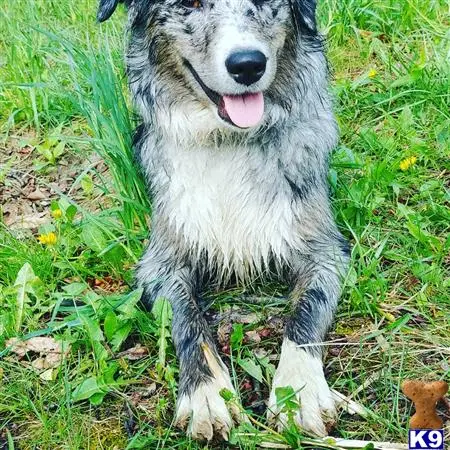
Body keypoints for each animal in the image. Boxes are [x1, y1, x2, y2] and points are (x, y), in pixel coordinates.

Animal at [97, 0, 352, 442]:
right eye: (190, 4)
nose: (248, 64)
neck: (228, 139)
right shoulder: (160, 262)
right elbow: (187, 321)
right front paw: (205, 394)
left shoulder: (326, 251)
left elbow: (305, 314)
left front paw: (298, 390)